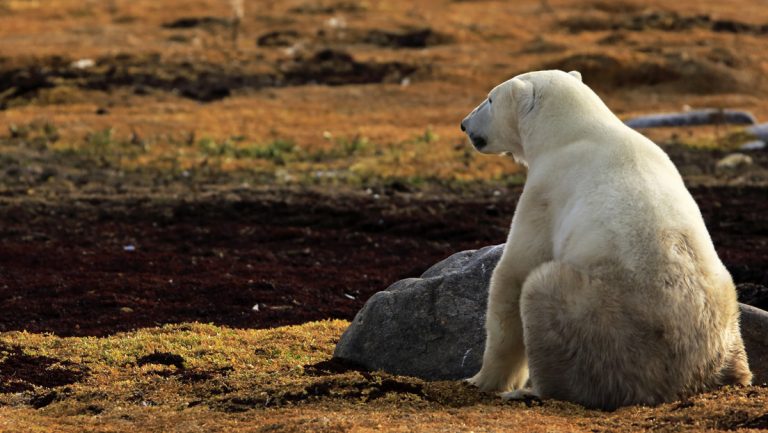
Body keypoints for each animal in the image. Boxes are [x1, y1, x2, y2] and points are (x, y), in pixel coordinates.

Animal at [460, 70, 752, 410]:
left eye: (490, 99)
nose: (465, 124)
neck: (574, 130)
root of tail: (681, 375)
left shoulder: (546, 191)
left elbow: (514, 273)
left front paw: (483, 379)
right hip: (726, 310)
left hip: (598, 322)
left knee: (541, 290)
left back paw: (533, 391)